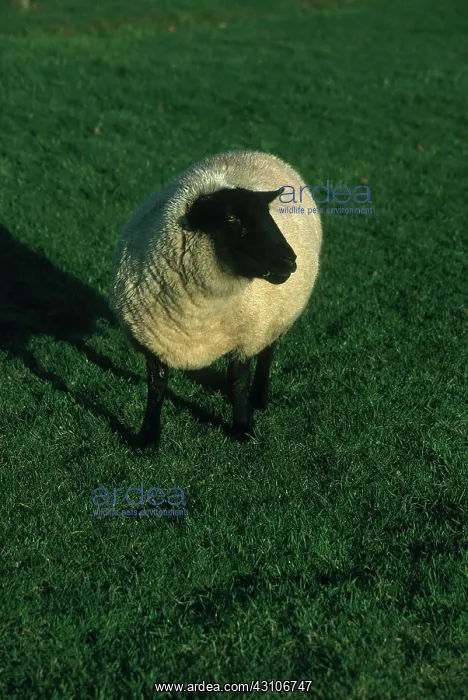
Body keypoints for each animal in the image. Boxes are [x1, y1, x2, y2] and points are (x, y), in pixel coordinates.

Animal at [110, 150, 322, 449]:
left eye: (267, 216)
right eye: (231, 219)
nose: (290, 262)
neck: (198, 313)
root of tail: (254, 152)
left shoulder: (247, 336)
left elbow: (238, 381)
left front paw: (243, 427)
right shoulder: (154, 342)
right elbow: (157, 387)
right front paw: (148, 437)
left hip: (277, 318)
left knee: (268, 353)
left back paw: (259, 397)